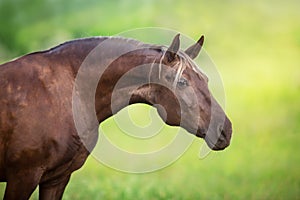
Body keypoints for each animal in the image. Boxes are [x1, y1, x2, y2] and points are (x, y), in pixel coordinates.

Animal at [0, 33, 232, 199]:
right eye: (182, 82)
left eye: (206, 79)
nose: (226, 130)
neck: (71, 92)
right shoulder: (23, 177)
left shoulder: (56, 179)